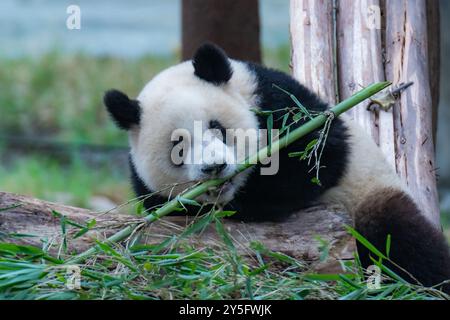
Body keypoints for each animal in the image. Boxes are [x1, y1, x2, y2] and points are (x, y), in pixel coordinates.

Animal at [103, 42, 450, 292]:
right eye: (178, 146)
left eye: (218, 128)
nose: (215, 167)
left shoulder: (279, 100)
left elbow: (319, 156)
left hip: (370, 195)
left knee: (401, 241)